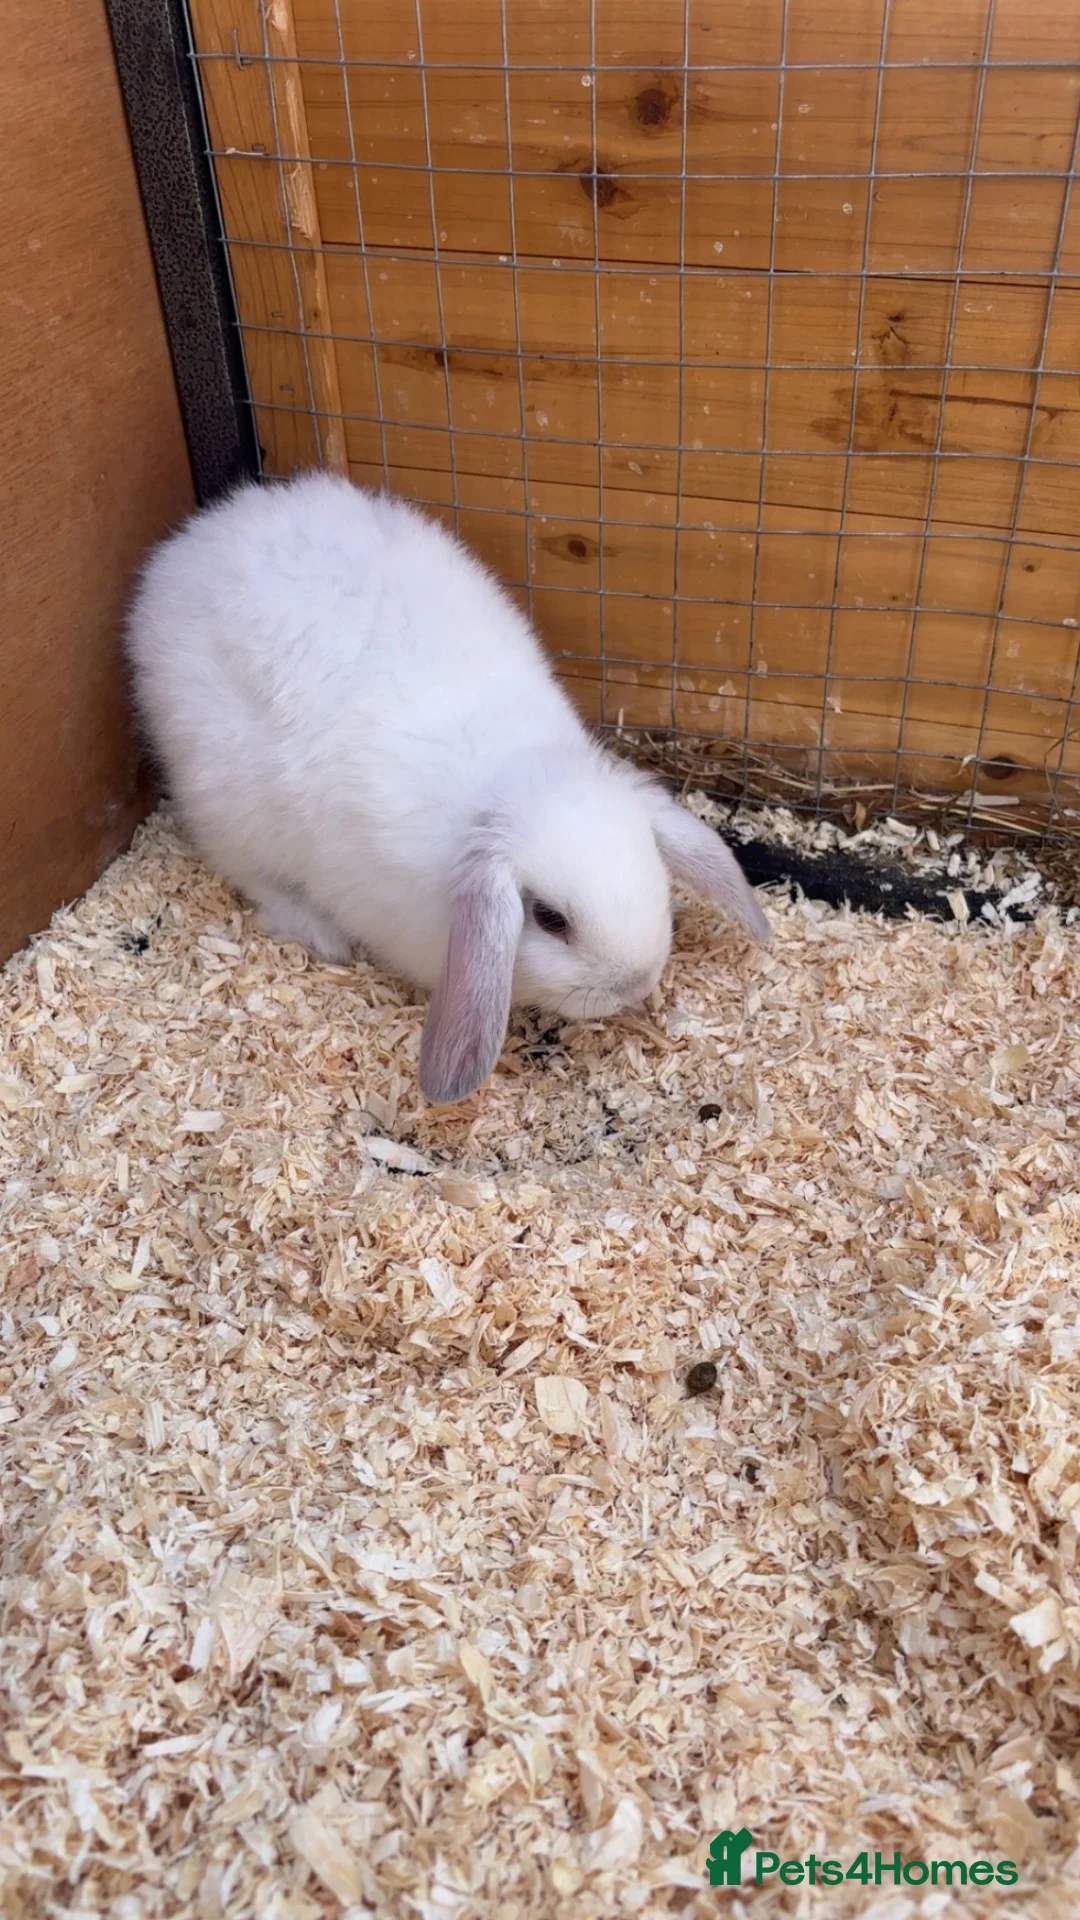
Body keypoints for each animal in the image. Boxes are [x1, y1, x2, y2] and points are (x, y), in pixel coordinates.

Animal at [126, 471, 770, 1105]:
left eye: (655, 874)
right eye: (549, 919)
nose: (634, 984)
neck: (511, 786)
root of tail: (183, 552)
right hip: (227, 799)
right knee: (247, 872)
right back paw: (321, 935)